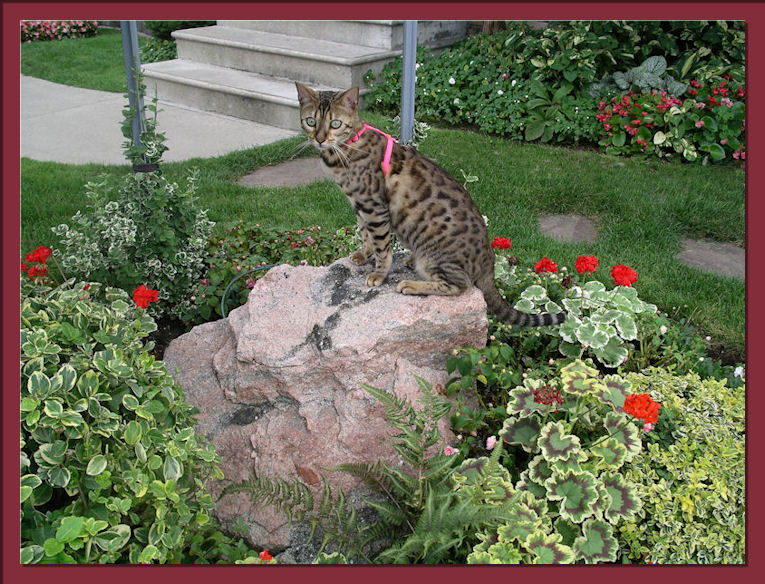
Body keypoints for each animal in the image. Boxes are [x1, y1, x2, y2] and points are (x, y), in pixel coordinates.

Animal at [296, 81, 564, 326]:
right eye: (310, 121)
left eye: (335, 124)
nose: (319, 139)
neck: (346, 147)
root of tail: (489, 260)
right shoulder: (360, 205)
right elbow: (365, 234)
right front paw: (364, 254)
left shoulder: (374, 206)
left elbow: (382, 246)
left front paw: (379, 273)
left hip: (435, 256)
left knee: (460, 286)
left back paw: (411, 284)